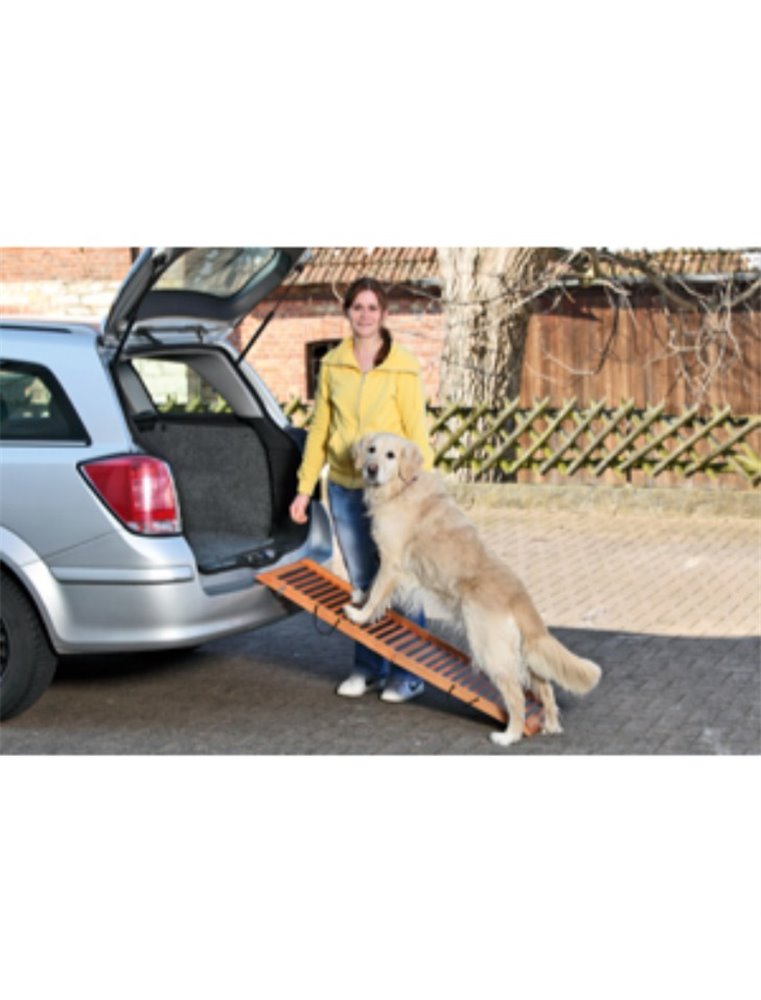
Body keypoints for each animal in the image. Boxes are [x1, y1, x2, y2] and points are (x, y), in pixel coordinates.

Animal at [343, 432, 601, 746]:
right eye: (371, 450)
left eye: (390, 455)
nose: (371, 469)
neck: (401, 487)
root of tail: (520, 598)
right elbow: (372, 591)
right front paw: (359, 598)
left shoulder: (391, 562)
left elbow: (376, 593)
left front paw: (359, 614)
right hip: (521, 652)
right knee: (545, 687)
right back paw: (551, 724)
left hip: (489, 649)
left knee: (516, 696)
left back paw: (509, 735)